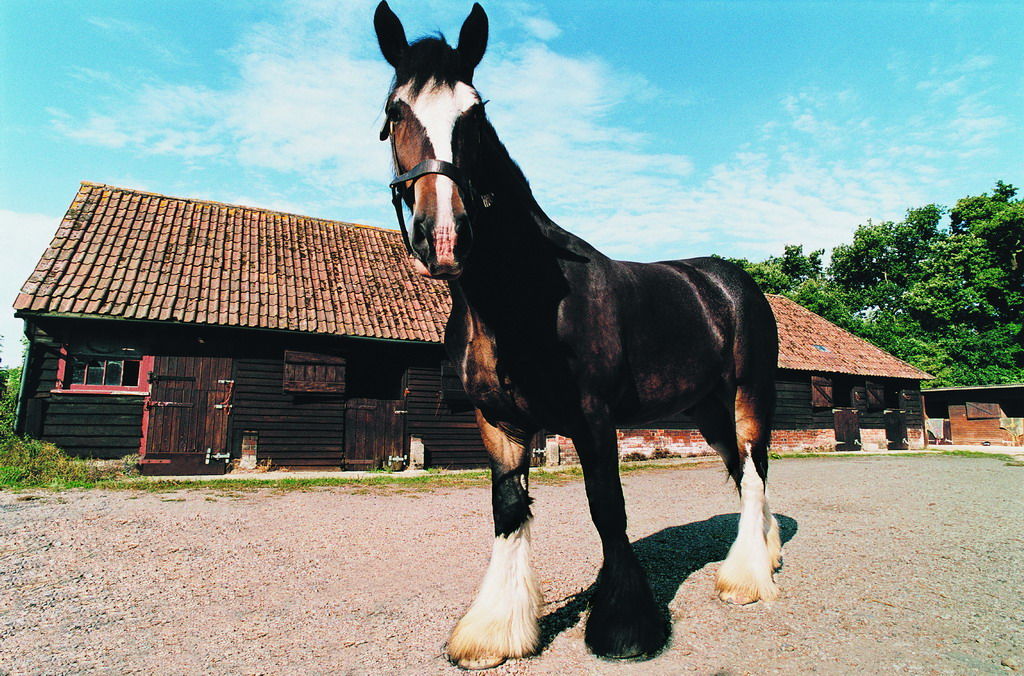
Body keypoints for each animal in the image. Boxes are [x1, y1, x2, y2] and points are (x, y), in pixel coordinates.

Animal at [373, 2, 781, 668]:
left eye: (476, 113)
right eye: (394, 112)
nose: (445, 238)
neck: (521, 299)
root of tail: (729, 281)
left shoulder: (593, 417)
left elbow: (606, 506)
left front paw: (625, 628)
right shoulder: (499, 422)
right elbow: (508, 510)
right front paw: (494, 632)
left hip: (749, 395)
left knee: (752, 471)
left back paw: (744, 578)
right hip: (706, 410)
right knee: (747, 472)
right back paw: (765, 558)